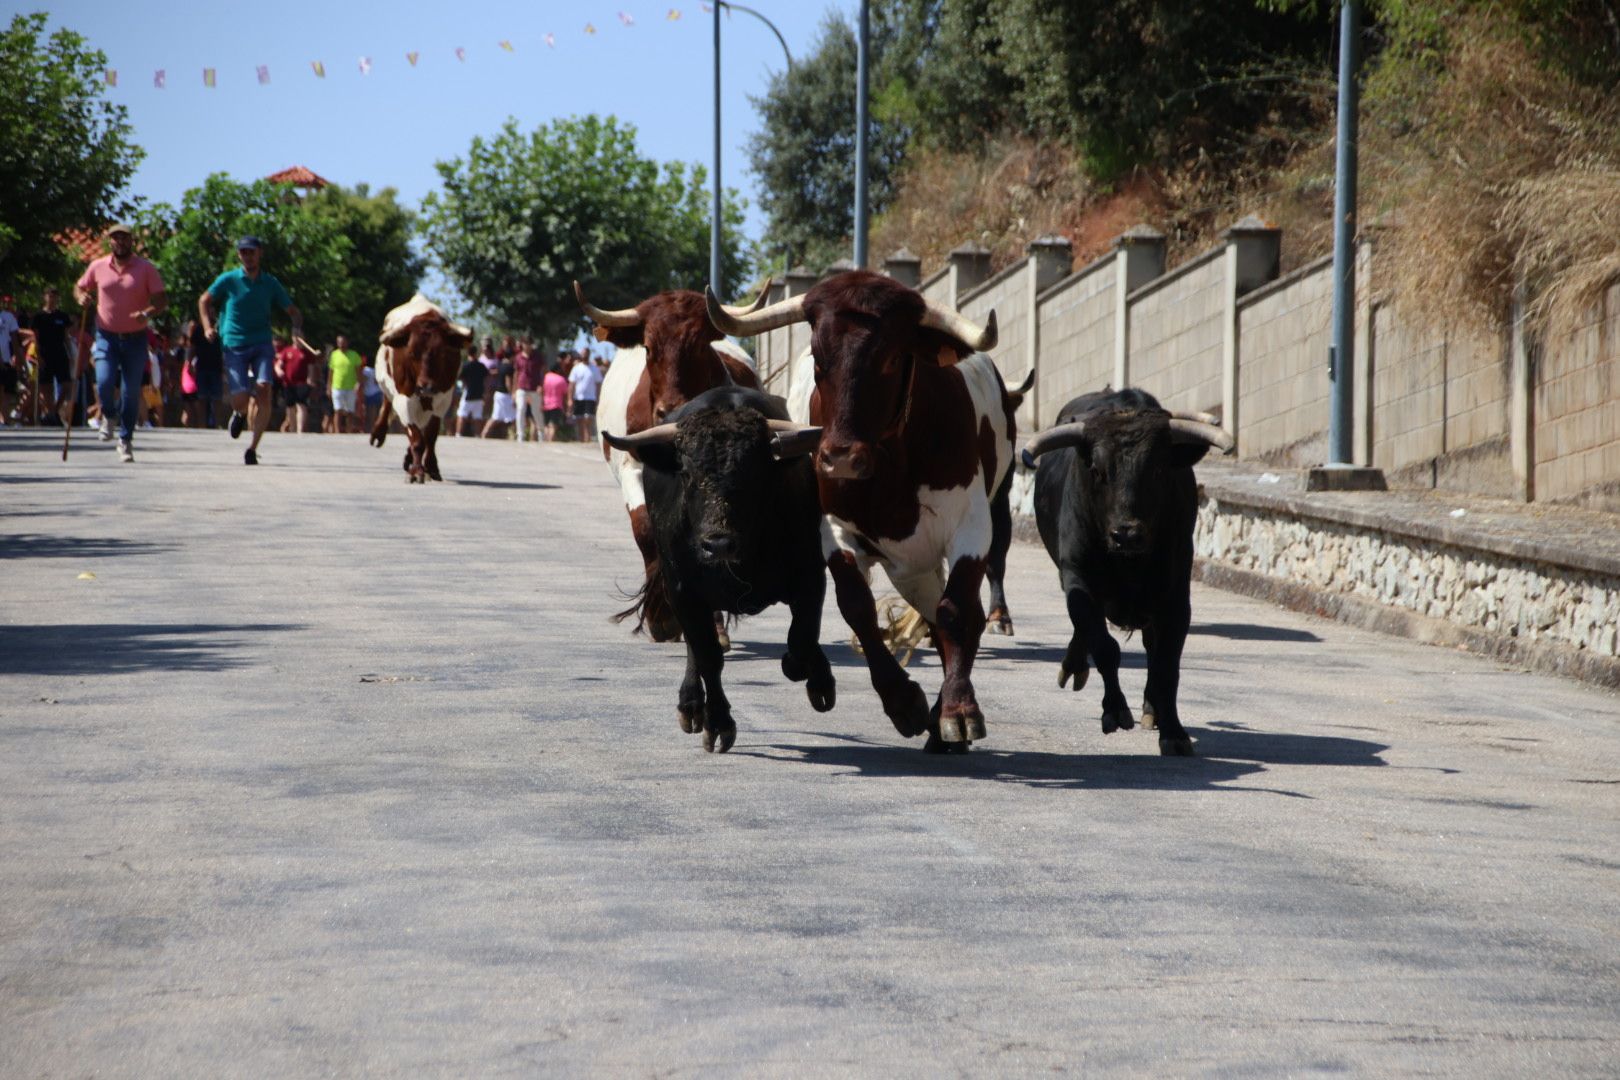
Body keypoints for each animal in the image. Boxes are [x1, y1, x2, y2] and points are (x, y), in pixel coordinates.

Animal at [367, 293, 469, 482]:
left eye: (442, 353)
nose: (426, 386)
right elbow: (416, 438)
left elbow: (430, 437)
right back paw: (379, 434)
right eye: (411, 353)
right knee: (387, 403)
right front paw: (416, 471)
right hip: (390, 387)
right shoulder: (404, 399)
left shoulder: (442, 399)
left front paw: (431, 467)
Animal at [573, 283, 767, 647]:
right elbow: (646, 530)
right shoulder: (633, 470)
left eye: (701, 344)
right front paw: (661, 616)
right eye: (649, 346)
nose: (670, 409)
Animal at [605, 388, 835, 751]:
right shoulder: (683, 592)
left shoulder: (810, 575)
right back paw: (690, 706)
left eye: (756, 472)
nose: (718, 544)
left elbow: (801, 639)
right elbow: (708, 656)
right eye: (686, 472)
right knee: (695, 649)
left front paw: (817, 680)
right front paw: (718, 723)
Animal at [706, 270, 1010, 757]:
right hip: (911, 566)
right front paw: (903, 702)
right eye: (818, 357)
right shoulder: (835, 530)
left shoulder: (971, 525)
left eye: (891, 357)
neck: (893, 463)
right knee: (927, 610)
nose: (841, 458)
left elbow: (958, 613)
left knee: (954, 614)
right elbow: (857, 607)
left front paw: (958, 712)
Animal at [1030, 390, 1231, 761]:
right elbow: (1104, 646)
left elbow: (1167, 664)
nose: (1127, 534)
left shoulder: (1175, 598)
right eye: (1096, 470)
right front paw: (1114, 710)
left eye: (1158, 468)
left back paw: (1153, 710)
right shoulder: (1078, 579)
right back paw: (1075, 666)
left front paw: (1174, 732)